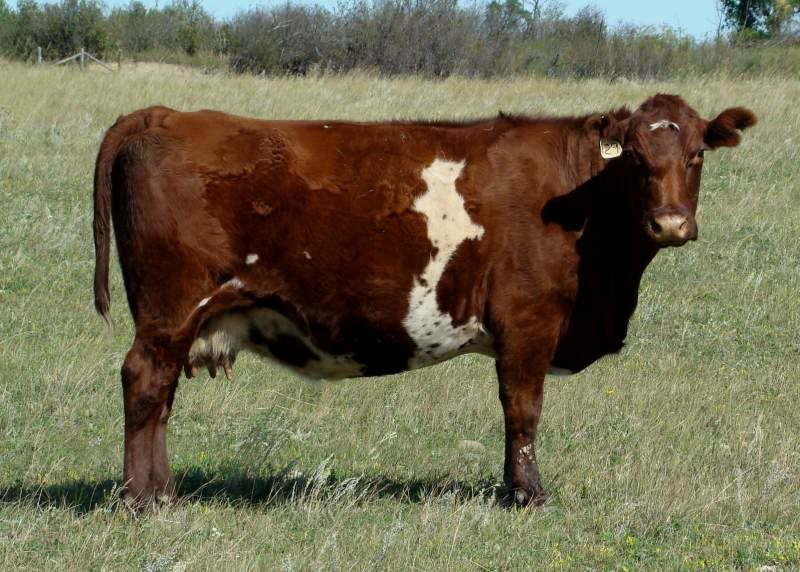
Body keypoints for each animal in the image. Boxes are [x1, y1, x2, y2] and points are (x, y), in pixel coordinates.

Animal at [92, 94, 755, 507]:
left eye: (696, 154)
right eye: (637, 159)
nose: (670, 223)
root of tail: (164, 115)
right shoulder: (529, 321)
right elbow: (523, 411)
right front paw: (528, 495)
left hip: (178, 319)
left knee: (160, 397)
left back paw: (163, 492)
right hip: (171, 310)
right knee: (144, 383)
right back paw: (142, 501)